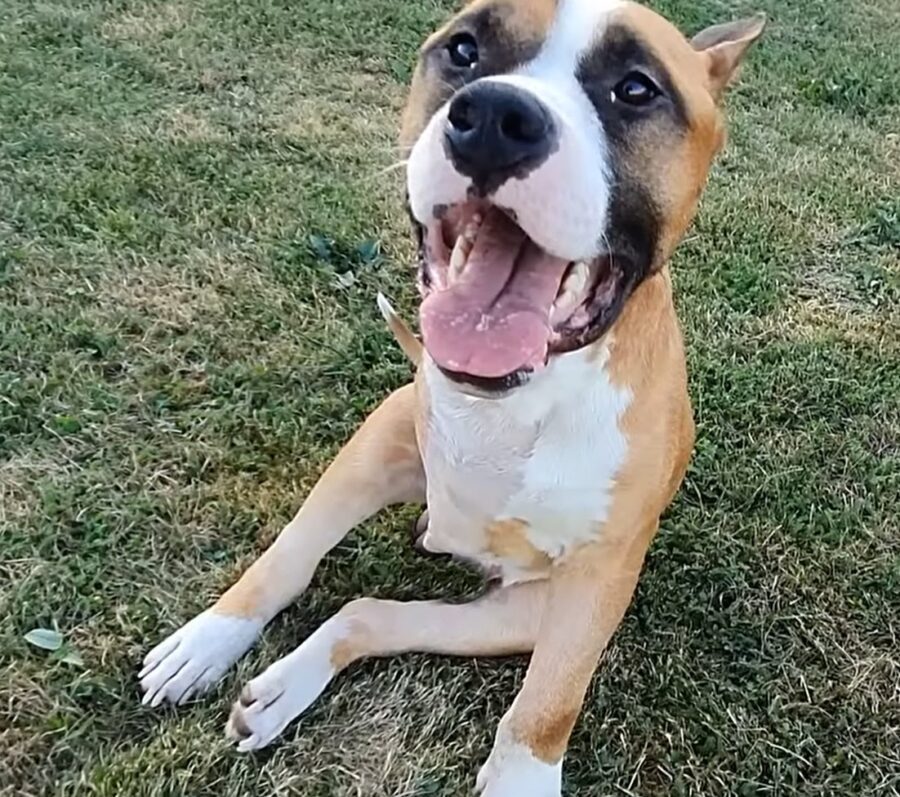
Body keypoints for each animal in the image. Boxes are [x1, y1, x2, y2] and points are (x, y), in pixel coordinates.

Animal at [140, 1, 764, 793]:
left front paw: (523, 776)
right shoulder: (378, 442)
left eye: (636, 87)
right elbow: (289, 553)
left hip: (522, 614)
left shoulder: (599, 577)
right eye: (464, 49)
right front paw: (212, 636)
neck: (521, 399)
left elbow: (550, 701)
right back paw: (250, 663)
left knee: (376, 612)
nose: (495, 117)